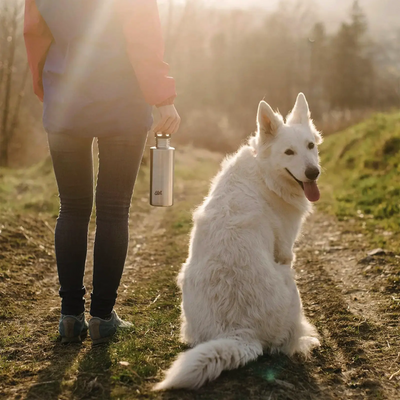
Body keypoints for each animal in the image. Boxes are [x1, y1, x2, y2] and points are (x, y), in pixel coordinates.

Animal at [153, 92, 322, 390]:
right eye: (288, 152)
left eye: (310, 145)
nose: (314, 172)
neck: (264, 173)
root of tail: (240, 332)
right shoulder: (285, 251)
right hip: (289, 282)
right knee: (285, 345)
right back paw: (306, 339)